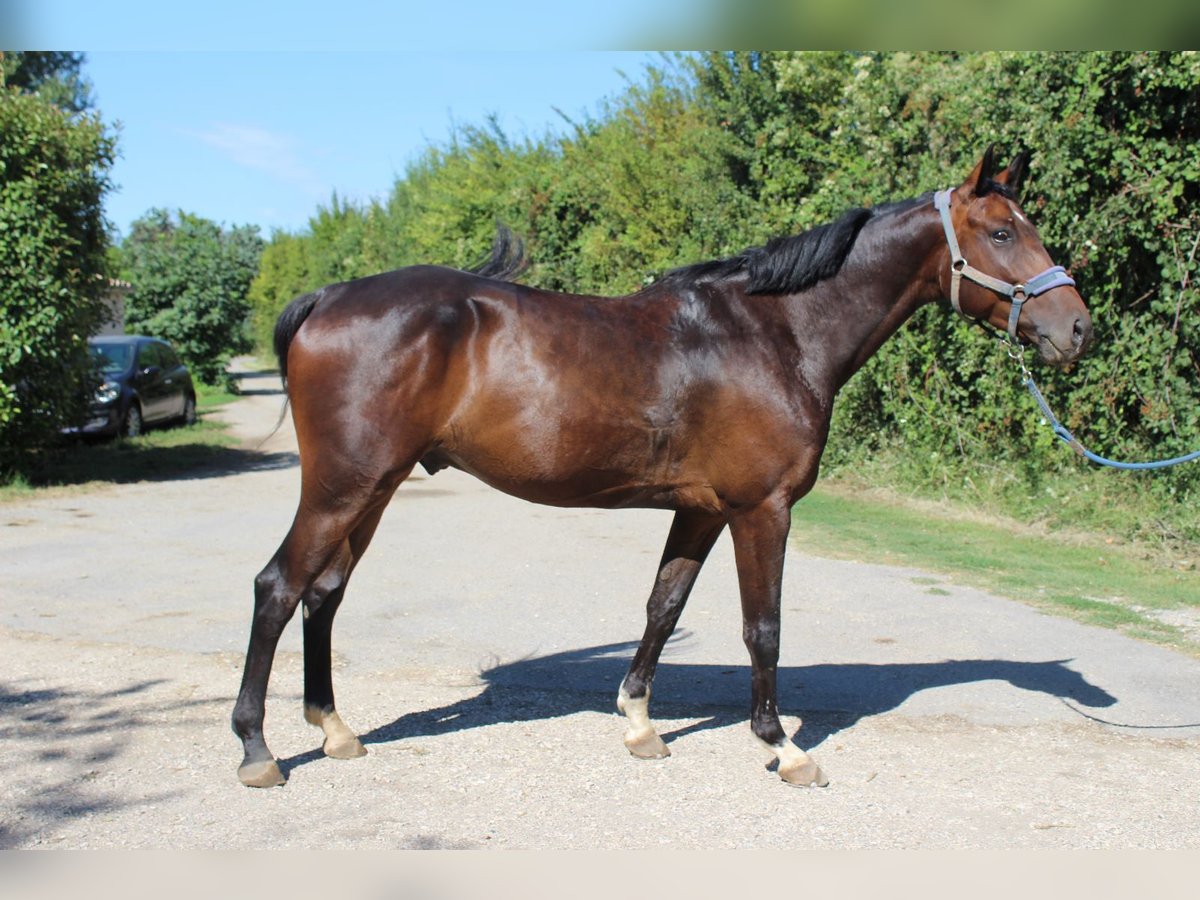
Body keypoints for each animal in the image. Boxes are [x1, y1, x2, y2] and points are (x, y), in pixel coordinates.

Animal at [229, 148, 1094, 787]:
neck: (777, 332)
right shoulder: (761, 508)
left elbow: (662, 607)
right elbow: (763, 628)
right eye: (1003, 233)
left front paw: (641, 725)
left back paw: (335, 731)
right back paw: (258, 751)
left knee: (324, 595)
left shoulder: (703, 509)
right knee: (277, 587)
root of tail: (329, 296)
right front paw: (783, 748)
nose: (1078, 329)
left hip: (373, 489)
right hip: (343, 486)